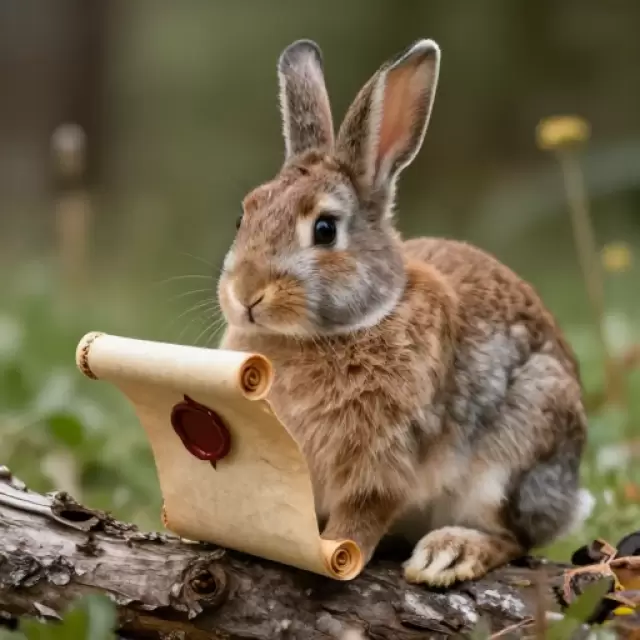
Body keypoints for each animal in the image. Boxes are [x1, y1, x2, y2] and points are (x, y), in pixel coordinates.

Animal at [216, 37, 593, 587]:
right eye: (243, 215)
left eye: (325, 229)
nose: (246, 293)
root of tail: (570, 497)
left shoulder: (385, 461)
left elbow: (363, 514)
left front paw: (334, 550)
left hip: (516, 450)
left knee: (513, 537)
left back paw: (450, 553)